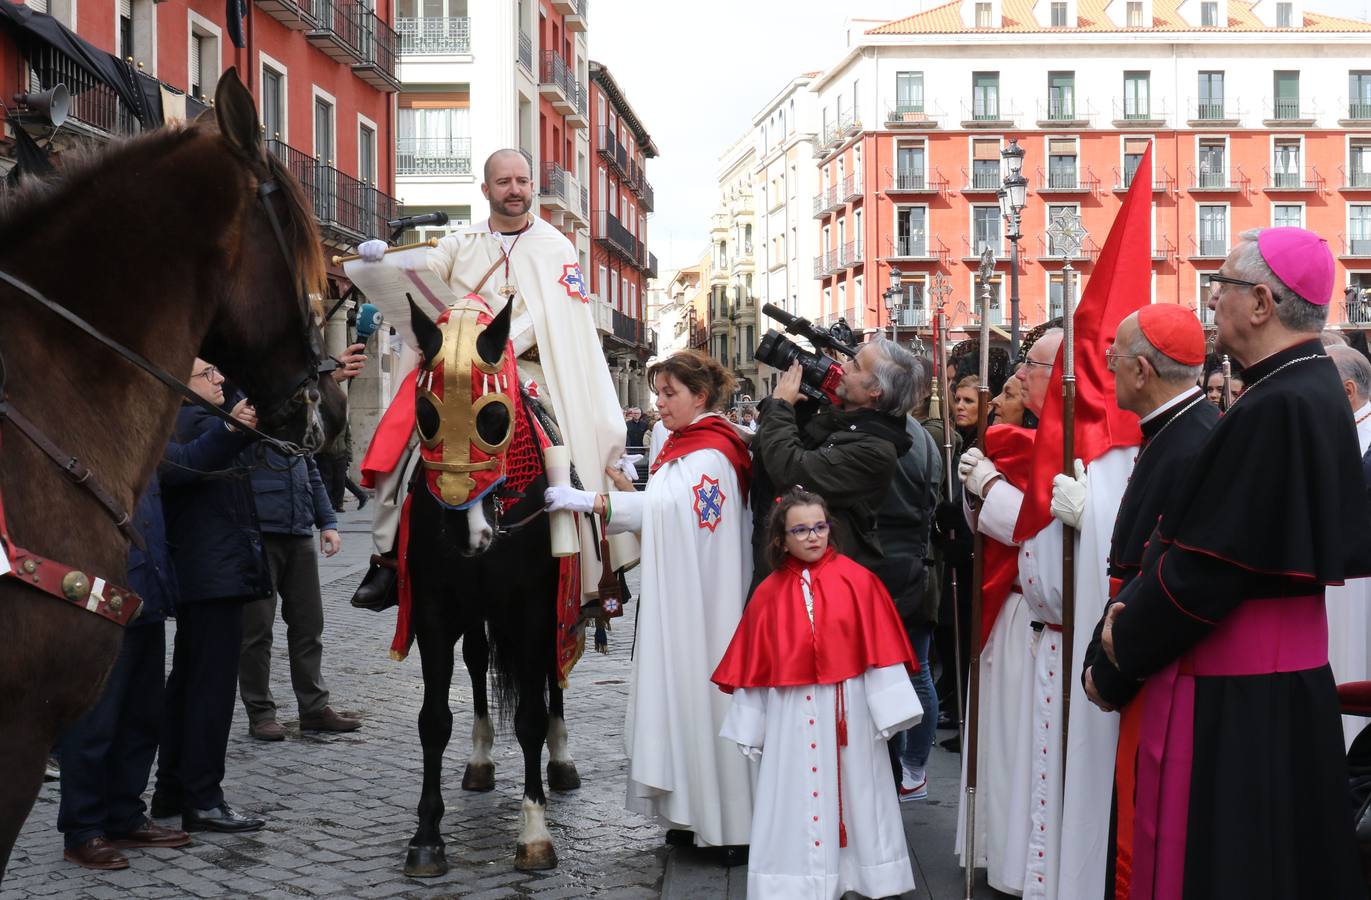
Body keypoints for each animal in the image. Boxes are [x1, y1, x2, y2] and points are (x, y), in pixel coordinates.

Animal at [400, 299, 584, 878]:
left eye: (494, 418)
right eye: (426, 414)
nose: (467, 532)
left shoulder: (531, 612)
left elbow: (529, 719)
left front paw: (534, 833)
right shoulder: (433, 612)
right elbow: (433, 720)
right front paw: (427, 837)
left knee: (551, 679)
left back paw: (561, 760)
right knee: (479, 663)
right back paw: (481, 760)